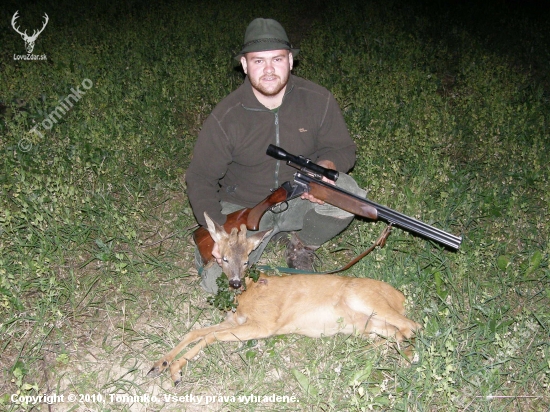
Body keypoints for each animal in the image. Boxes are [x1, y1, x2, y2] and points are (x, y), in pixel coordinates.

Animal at [149, 212, 420, 386]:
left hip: (364, 299)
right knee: (397, 331)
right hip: (368, 322)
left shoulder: (264, 324)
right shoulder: (234, 321)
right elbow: (195, 332)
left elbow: (210, 336)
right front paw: (160, 364)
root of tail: (401, 296)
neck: (248, 292)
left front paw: (176, 371)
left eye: (246, 261)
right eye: (224, 259)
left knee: (412, 326)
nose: (235, 282)